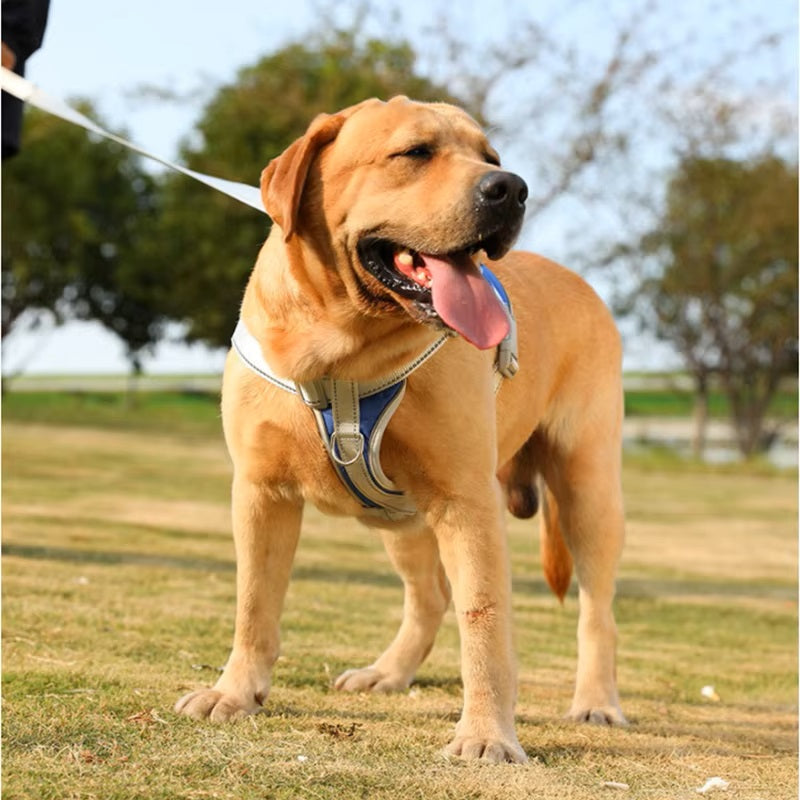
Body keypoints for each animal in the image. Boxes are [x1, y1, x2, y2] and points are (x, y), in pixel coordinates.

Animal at [173, 95, 624, 764]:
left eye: (491, 157)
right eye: (414, 152)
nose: (512, 188)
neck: (342, 352)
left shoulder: (467, 502)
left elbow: (485, 621)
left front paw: (487, 734)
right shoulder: (260, 493)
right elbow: (254, 604)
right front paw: (234, 693)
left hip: (587, 486)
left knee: (597, 609)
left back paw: (596, 700)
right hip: (402, 519)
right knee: (429, 597)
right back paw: (388, 671)